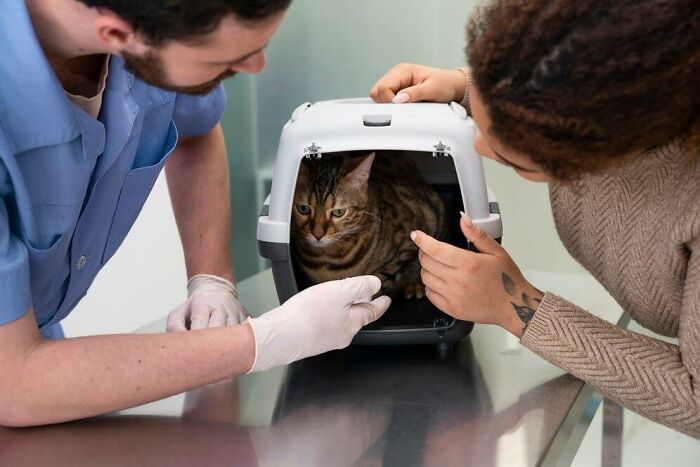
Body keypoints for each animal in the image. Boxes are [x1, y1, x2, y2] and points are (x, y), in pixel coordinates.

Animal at [288, 153, 442, 300]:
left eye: (338, 212)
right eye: (303, 209)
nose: (317, 235)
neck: (326, 259)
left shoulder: (409, 242)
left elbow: (379, 278)